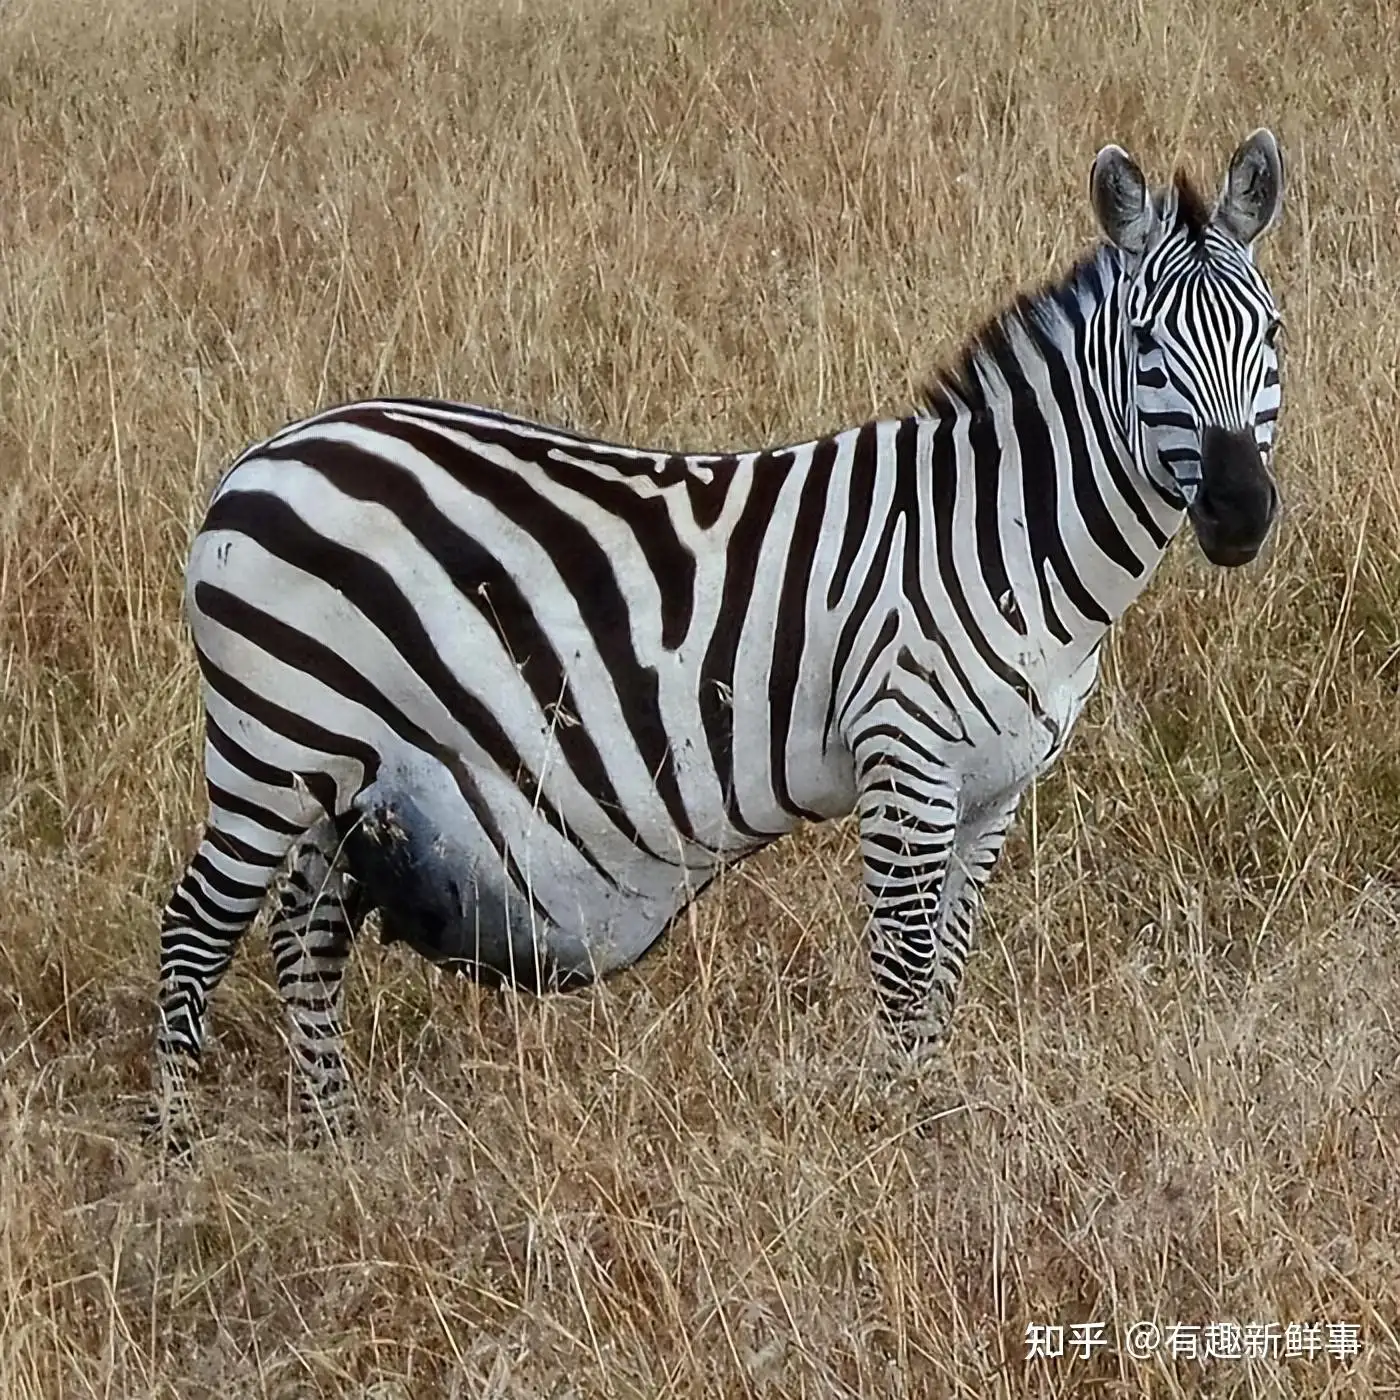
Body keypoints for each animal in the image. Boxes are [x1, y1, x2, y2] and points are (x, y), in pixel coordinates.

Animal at [147, 126, 1282, 1142]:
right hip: (274, 743)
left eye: (1269, 334)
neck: (1000, 535)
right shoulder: (903, 762)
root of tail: (264, 455)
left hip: (345, 766)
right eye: (1147, 347)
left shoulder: (993, 789)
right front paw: (901, 1133)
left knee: (305, 932)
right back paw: (172, 1151)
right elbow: (904, 968)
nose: (1238, 513)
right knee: (197, 928)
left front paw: (932, 1109)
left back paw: (331, 1136)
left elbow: (950, 963)